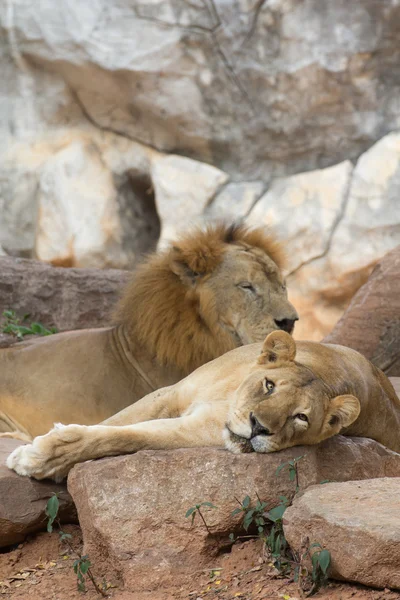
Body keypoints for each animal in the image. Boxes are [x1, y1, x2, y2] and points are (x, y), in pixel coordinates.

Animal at [7, 328, 400, 482]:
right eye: (269, 385)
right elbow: (116, 420)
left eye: (300, 417)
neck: (228, 396)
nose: (258, 427)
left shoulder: (194, 430)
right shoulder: (169, 392)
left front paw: (42, 457)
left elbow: (125, 435)